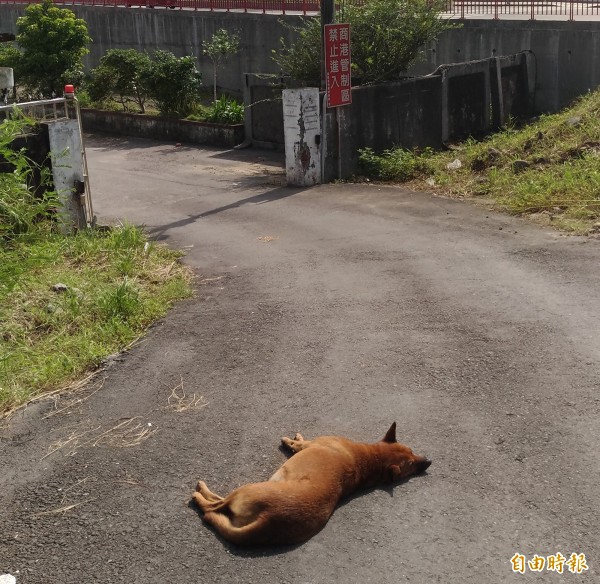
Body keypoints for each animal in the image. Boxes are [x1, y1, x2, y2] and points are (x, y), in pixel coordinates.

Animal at [192, 422, 432, 544]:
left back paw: (200, 493)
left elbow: (298, 443)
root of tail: (269, 516)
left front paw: (291, 440)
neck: (370, 460)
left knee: (213, 506)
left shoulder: (309, 444)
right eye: (412, 455)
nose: (429, 461)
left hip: (248, 488)